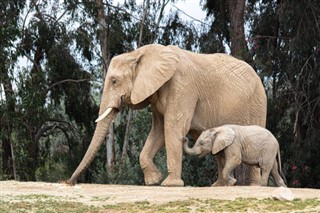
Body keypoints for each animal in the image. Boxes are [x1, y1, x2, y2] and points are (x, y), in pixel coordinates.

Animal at [68, 43, 268, 186]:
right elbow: (158, 131)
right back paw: (219, 186)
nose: (70, 182)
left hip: (257, 104)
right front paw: (153, 181)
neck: (141, 53)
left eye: (114, 81)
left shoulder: (183, 87)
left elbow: (173, 127)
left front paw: (169, 184)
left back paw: (253, 186)